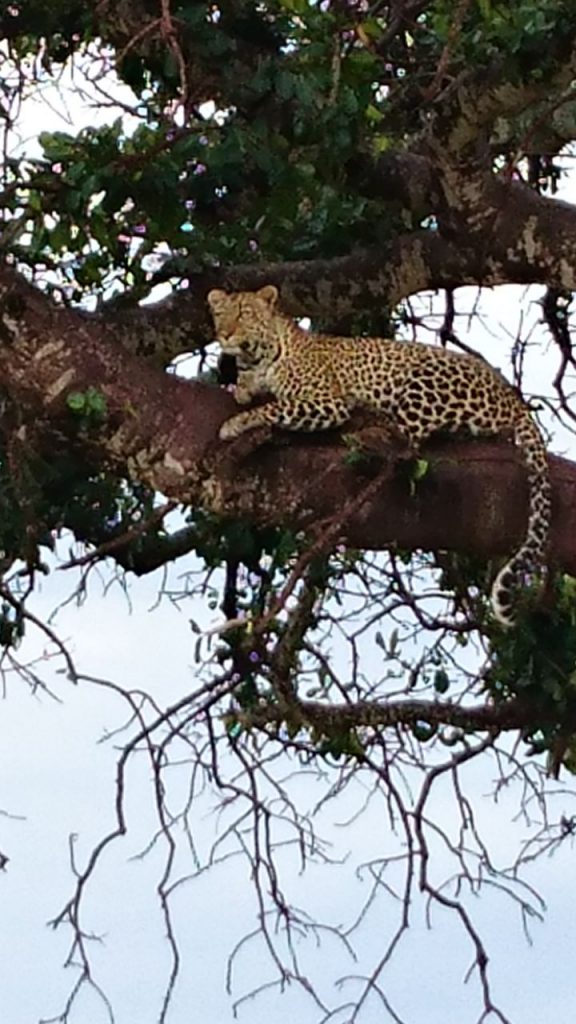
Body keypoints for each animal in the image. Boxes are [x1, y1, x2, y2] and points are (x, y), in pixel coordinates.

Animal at [208, 284, 549, 626]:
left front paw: (235, 423)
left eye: (245, 314)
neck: (259, 357)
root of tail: (512, 397)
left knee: (407, 441)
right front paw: (240, 390)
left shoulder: (326, 401)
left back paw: (370, 430)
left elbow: (275, 407)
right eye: (220, 314)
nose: (224, 334)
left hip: (424, 381)